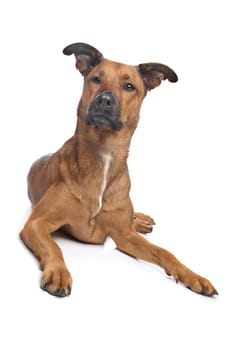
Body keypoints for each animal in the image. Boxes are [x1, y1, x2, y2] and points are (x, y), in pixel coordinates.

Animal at [19, 42, 218, 296]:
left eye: (129, 86)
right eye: (96, 79)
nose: (104, 100)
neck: (104, 154)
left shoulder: (123, 235)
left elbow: (163, 252)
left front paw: (193, 276)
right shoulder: (35, 224)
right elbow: (54, 246)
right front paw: (58, 273)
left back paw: (139, 219)